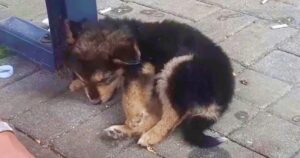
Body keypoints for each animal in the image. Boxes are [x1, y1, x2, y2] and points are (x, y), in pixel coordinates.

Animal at [64, 17, 236, 148]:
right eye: (82, 78)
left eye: (105, 79)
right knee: (158, 114)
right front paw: (76, 84)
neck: (135, 38)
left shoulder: (143, 67)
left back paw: (151, 135)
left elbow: (129, 92)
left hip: (175, 67)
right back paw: (121, 131)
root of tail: (226, 92)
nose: (95, 102)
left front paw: (133, 116)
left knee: (174, 114)